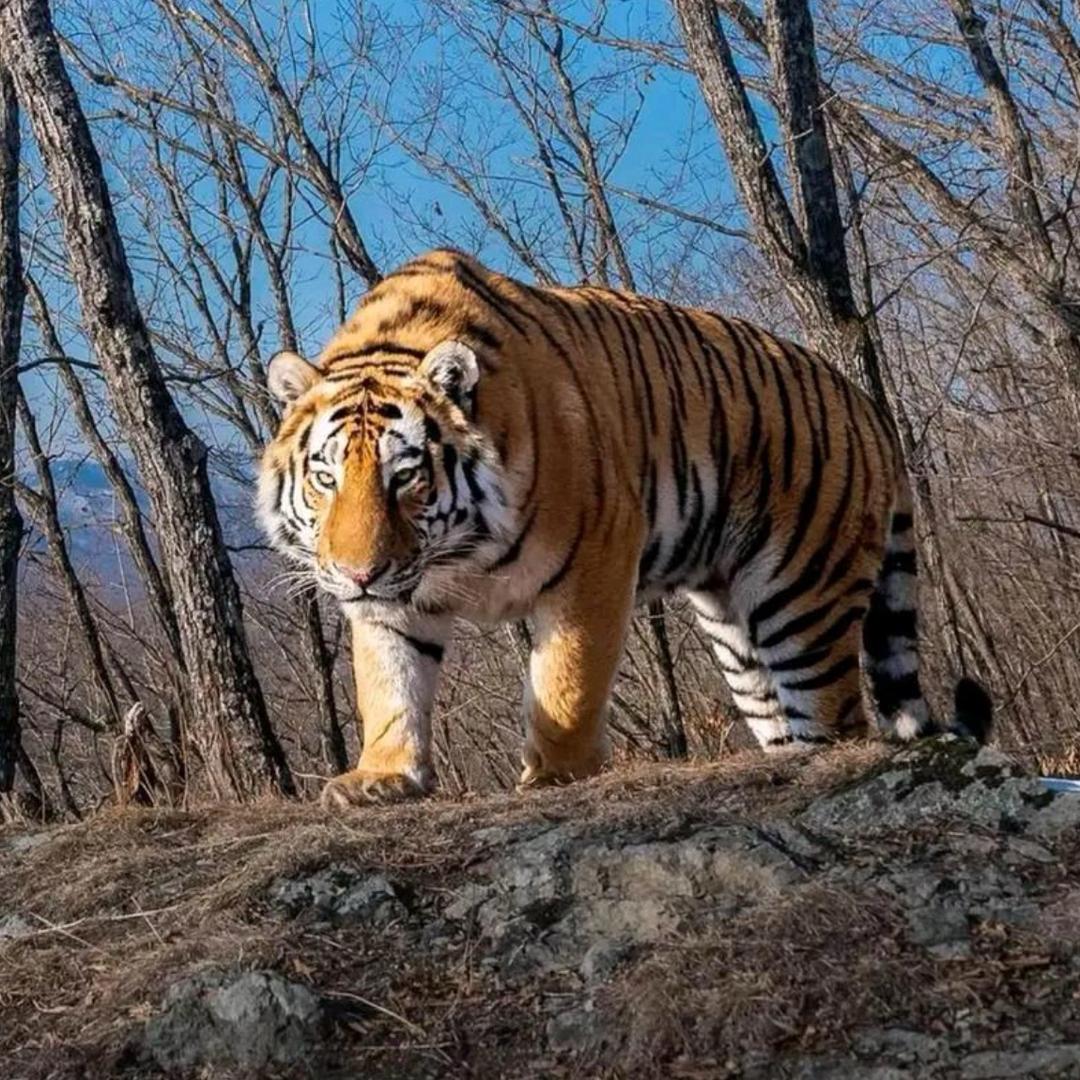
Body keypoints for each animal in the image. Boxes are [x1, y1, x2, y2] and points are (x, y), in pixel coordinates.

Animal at [258, 248, 991, 808]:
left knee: (840, 720)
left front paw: (555, 774)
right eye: (326, 477)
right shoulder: (393, 603)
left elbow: (566, 682)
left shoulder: (594, 559)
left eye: (405, 476)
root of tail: (869, 407)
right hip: (737, 630)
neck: (457, 552)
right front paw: (381, 777)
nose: (357, 573)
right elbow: (389, 682)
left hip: (804, 599)